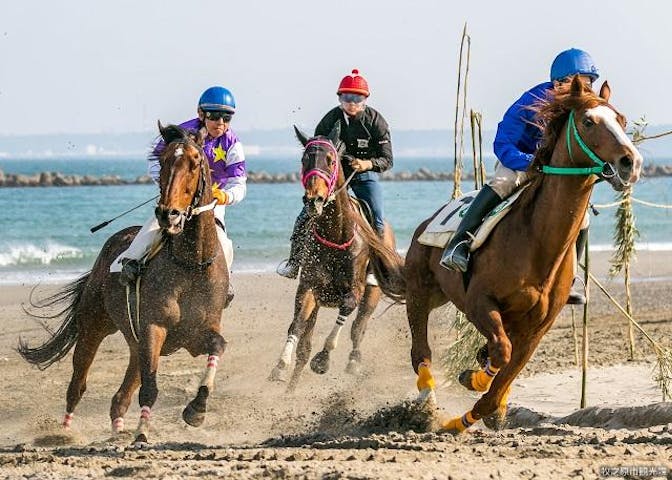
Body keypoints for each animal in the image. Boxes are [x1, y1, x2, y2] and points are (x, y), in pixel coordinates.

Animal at [18, 123, 229, 444]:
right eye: (163, 161)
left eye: (195, 162)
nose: (168, 213)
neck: (191, 264)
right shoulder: (154, 328)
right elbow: (150, 388)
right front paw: (142, 433)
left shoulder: (196, 334)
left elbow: (217, 344)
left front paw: (196, 409)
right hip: (94, 325)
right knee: (77, 385)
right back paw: (64, 432)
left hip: (134, 343)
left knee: (120, 396)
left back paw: (117, 430)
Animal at [269, 123, 406, 391]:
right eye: (304, 159)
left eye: (331, 161)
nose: (314, 200)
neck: (336, 233)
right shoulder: (309, 287)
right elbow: (297, 326)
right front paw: (280, 366)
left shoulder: (355, 290)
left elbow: (347, 310)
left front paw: (323, 360)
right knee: (305, 343)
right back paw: (292, 387)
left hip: (372, 294)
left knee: (358, 328)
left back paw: (353, 362)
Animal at [404, 76, 643, 432]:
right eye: (588, 122)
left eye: (623, 121)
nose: (631, 162)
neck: (537, 244)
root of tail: (425, 223)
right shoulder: (480, 301)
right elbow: (501, 353)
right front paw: (472, 382)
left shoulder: (536, 328)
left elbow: (500, 384)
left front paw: (477, 410)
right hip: (420, 291)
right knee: (421, 350)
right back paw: (427, 401)